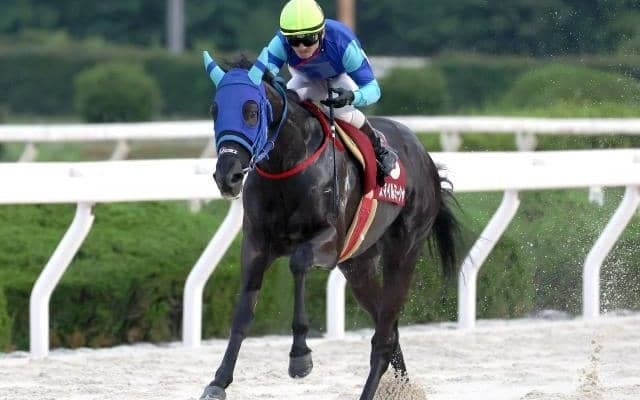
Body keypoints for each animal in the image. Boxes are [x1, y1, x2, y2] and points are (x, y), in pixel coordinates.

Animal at [199, 49, 461, 400]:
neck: (287, 164)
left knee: (384, 334)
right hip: (358, 264)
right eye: (214, 110)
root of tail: (425, 156)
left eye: (251, 111)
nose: (227, 176)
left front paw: (300, 356)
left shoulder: (330, 242)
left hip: (403, 251)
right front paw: (218, 381)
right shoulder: (256, 244)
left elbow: (298, 263)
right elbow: (243, 311)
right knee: (388, 327)